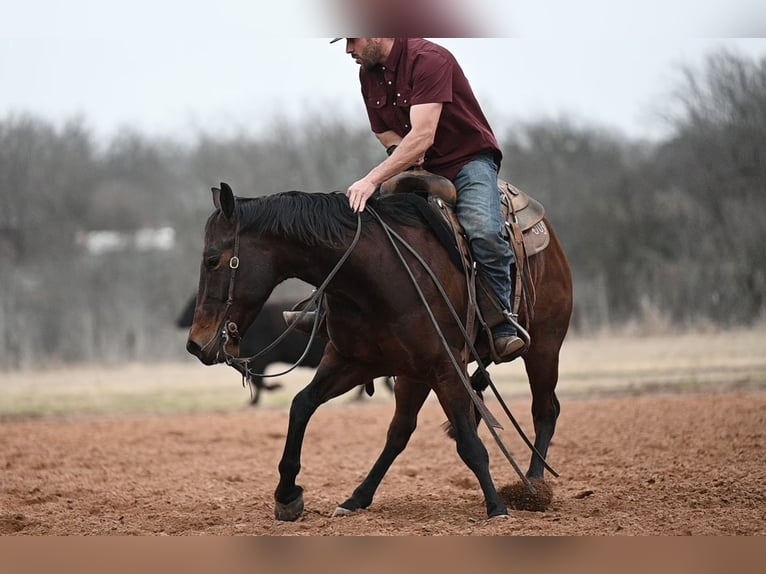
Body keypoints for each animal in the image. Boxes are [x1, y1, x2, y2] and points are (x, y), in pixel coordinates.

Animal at [186, 182, 573, 521]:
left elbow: (468, 440)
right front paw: (287, 496)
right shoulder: (352, 361)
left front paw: (496, 507)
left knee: (545, 411)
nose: (195, 343)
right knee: (399, 432)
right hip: (413, 375)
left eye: (213, 260)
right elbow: (301, 406)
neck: (372, 277)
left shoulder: (446, 366)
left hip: (543, 348)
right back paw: (357, 498)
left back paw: (534, 485)